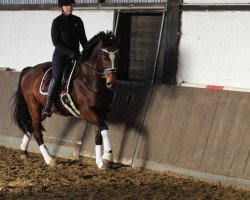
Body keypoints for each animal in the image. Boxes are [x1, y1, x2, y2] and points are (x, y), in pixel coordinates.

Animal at [12, 32, 120, 170]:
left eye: (117, 55)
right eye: (104, 57)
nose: (112, 82)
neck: (90, 79)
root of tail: (29, 70)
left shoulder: (102, 111)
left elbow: (99, 135)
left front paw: (101, 162)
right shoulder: (86, 111)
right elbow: (104, 127)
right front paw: (108, 155)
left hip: (42, 110)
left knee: (30, 127)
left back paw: (23, 152)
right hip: (33, 107)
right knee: (36, 132)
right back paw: (49, 159)